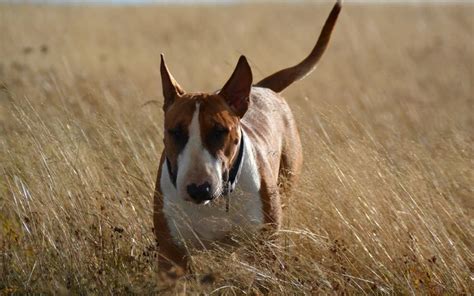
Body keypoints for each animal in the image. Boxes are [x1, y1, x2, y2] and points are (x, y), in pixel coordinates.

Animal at [153, 0, 340, 270]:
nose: (199, 189)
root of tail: (261, 87)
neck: (216, 203)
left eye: (220, 131)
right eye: (175, 132)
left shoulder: (265, 249)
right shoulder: (171, 256)